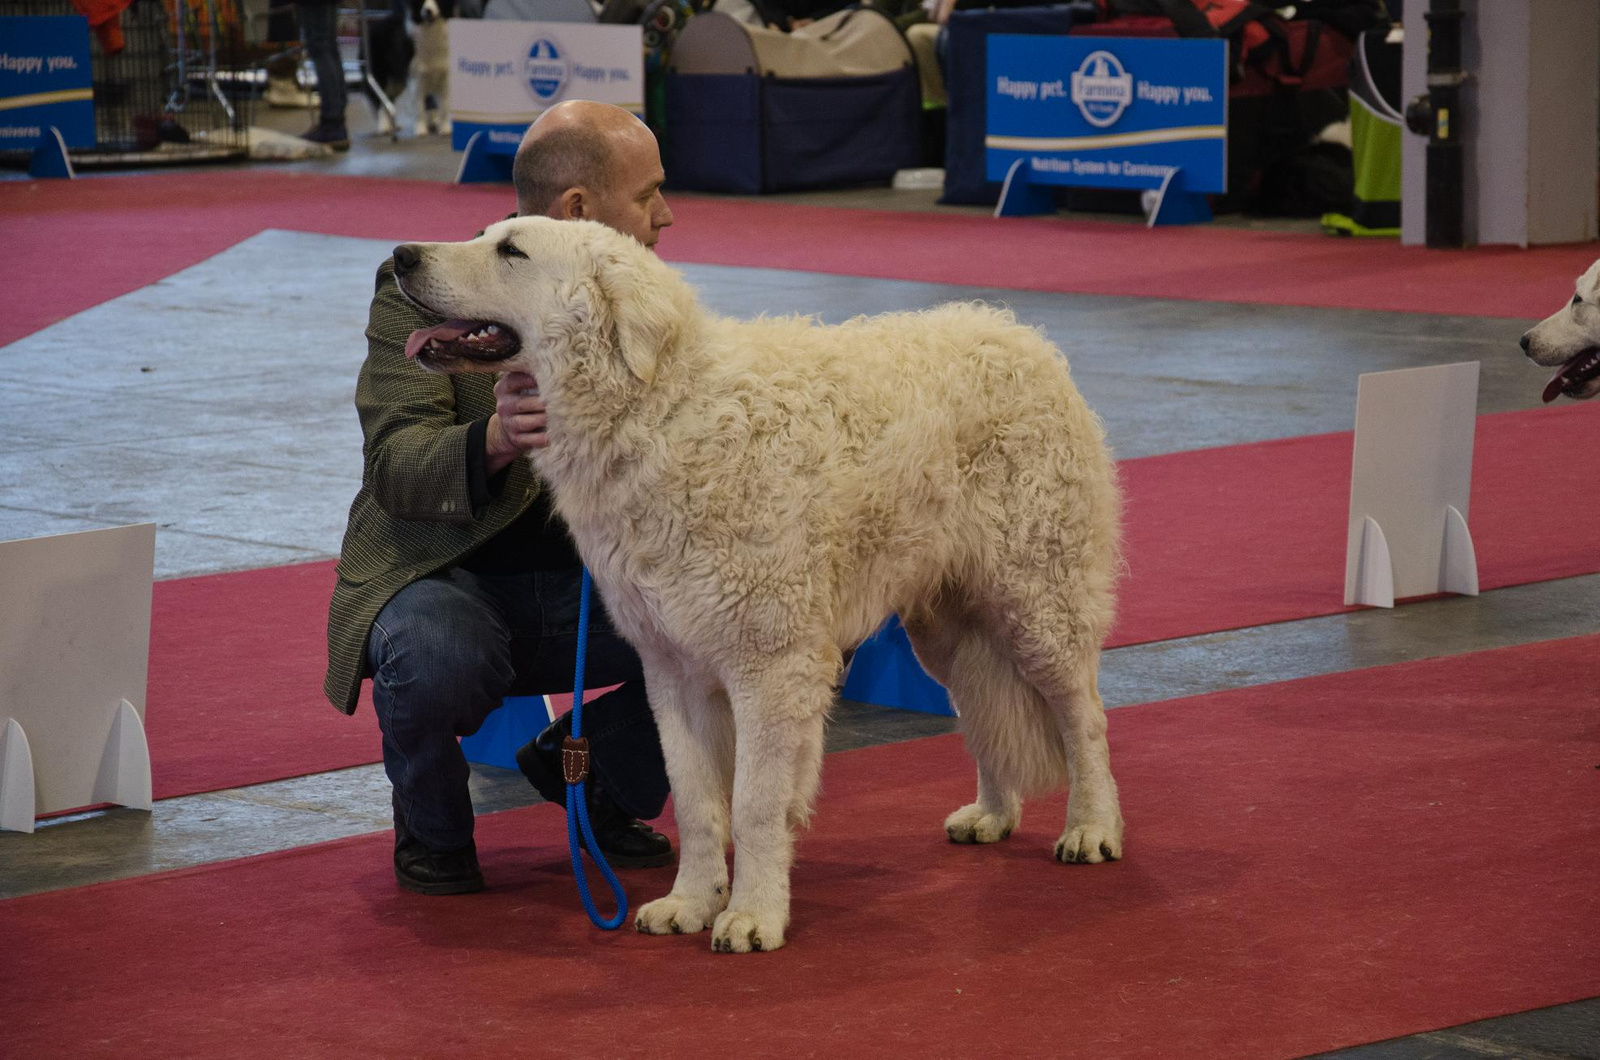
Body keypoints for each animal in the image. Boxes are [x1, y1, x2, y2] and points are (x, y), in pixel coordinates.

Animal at [393, 219, 1132, 960]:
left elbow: (751, 805)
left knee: (1084, 718)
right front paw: (690, 902)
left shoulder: (770, 668)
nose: (399, 257)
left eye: (510, 250)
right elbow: (696, 803)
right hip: (948, 631)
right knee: (982, 712)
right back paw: (992, 813)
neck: (659, 411)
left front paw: (752, 914)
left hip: (1039, 604)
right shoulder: (674, 672)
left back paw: (1092, 828)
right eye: (486, 234)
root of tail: (1023, 338)